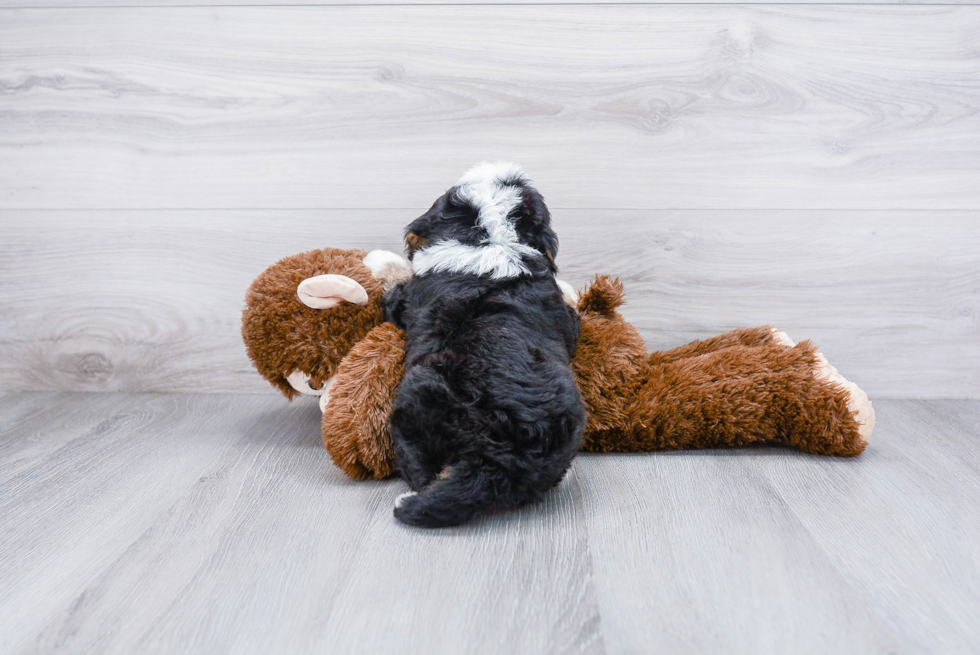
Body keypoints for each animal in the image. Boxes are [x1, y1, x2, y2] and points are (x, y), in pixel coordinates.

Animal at [382, 163, 584, 528]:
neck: (490, 238)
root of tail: (502, 458)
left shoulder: (405, 301)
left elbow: (394, 295)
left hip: (417, 398)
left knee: (416, 460)